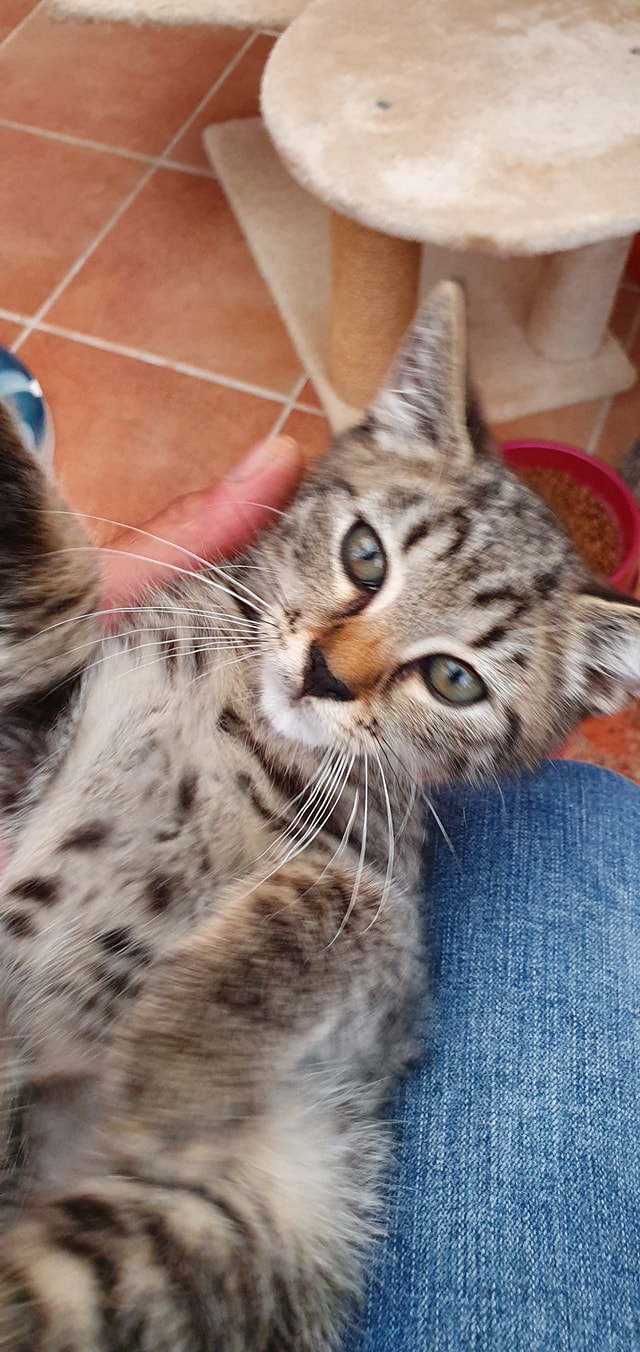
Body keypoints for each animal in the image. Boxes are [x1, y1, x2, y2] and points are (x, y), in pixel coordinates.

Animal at [0, 280, 637, 1352]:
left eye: (455, 679)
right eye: (364, 554)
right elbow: (46, 605)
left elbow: (355, 903)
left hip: (208, 1237)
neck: (242, 727)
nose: (325, 674)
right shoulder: (34, 740)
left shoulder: (384, 967)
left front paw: (173, 1074)